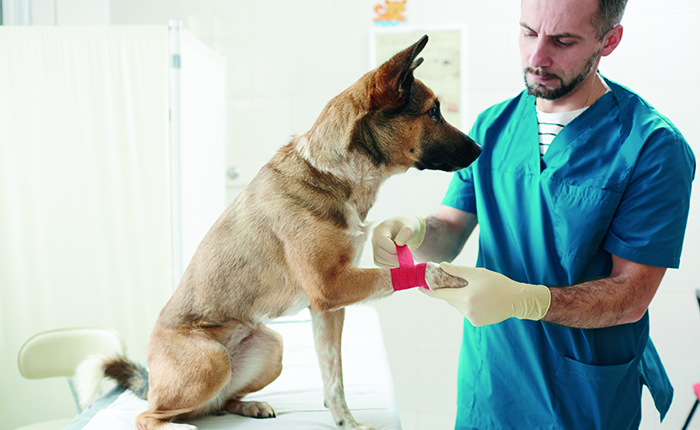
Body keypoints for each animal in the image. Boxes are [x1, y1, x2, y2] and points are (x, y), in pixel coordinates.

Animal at [78, 34, 482, 430]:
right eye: (433, 111)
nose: (480, 148)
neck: (336, 173)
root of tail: (153, 383)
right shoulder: (330, 288)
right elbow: (405, 275)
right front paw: (445, 276)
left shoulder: (328, 309)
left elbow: (333, 375)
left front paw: (345, 422)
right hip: (211, 362)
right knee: (151, 417)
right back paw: (179, 424)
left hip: (272, 347)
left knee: (217, 404)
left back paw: (250, 405)